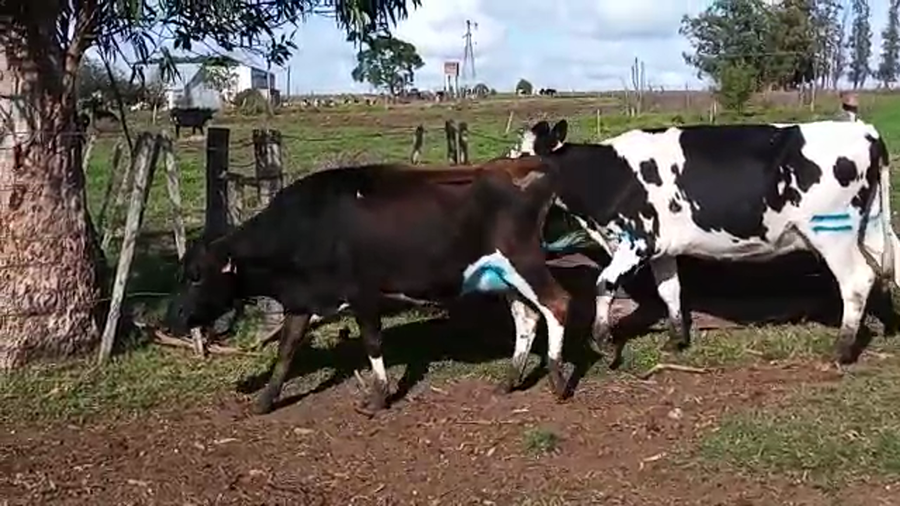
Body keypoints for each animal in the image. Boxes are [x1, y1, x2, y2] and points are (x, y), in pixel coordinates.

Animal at [163, 158, 572, 416]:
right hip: (502, 274)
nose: (173, 319)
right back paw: (510, 380)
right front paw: (264, 401)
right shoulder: (302, 300)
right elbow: (286, 350)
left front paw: (377, 398)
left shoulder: (363, 293)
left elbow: (373, 344)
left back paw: (557, 379)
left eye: (197, 275)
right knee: (526, 318)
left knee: (557, 304)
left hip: (524, 260)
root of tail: (526, 165)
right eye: (182, 273)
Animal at [509, 119, 899, 369]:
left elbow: (603, 283)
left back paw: (842, 350)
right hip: (873, 226)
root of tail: (867, 131)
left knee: (857, 281)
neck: (608, 174)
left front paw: (603, 340)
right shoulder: (661, 248)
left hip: (834, 233)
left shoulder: (638, 241)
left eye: (528, 162)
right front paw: (676, 340)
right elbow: (670, 291)